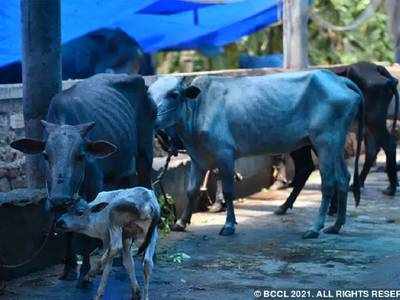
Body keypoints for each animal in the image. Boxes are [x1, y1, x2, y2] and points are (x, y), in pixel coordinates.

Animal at [10, 74, 155, 288]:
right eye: (45, 155)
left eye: (80, 155)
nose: (60, 199)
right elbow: (66, 226)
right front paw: (69, 269)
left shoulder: (93, 189)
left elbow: (85, 230)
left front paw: (85, 275)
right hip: (119, 172)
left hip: (145, 154)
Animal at [148, 69, 364, 239]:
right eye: (149, 93)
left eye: (174, 94)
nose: (152, 116)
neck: (198, 109)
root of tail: (338, 80)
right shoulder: (197, 158)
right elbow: (191, 190)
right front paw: (181, 223)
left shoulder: (225, 154)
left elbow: (228, 191)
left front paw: (229, 225)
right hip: (334, 144)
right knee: (343, 178)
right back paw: (335, 225)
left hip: (325, 141)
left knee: (328, 182)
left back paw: (315, 228)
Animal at [276, 61, 398, 216]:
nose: (282, 181)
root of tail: (377, 68)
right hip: (368, 126)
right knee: (372, 150)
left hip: (374, 121)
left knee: (388, 145)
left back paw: (391, 188)